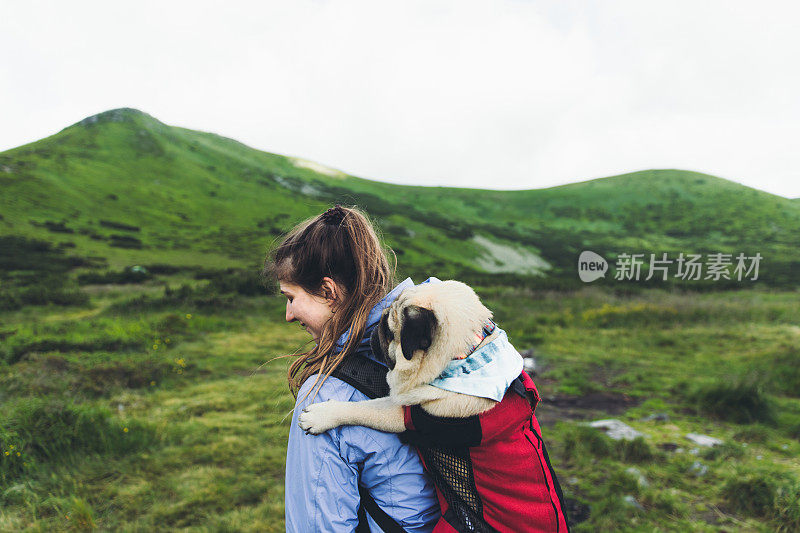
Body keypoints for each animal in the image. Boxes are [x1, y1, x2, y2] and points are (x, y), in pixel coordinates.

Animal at [298, 278, 500, 432]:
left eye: (388, 331)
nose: (374, 332)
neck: (466, 353)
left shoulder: (407, 415)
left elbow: (365, 409)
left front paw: (321, 416)